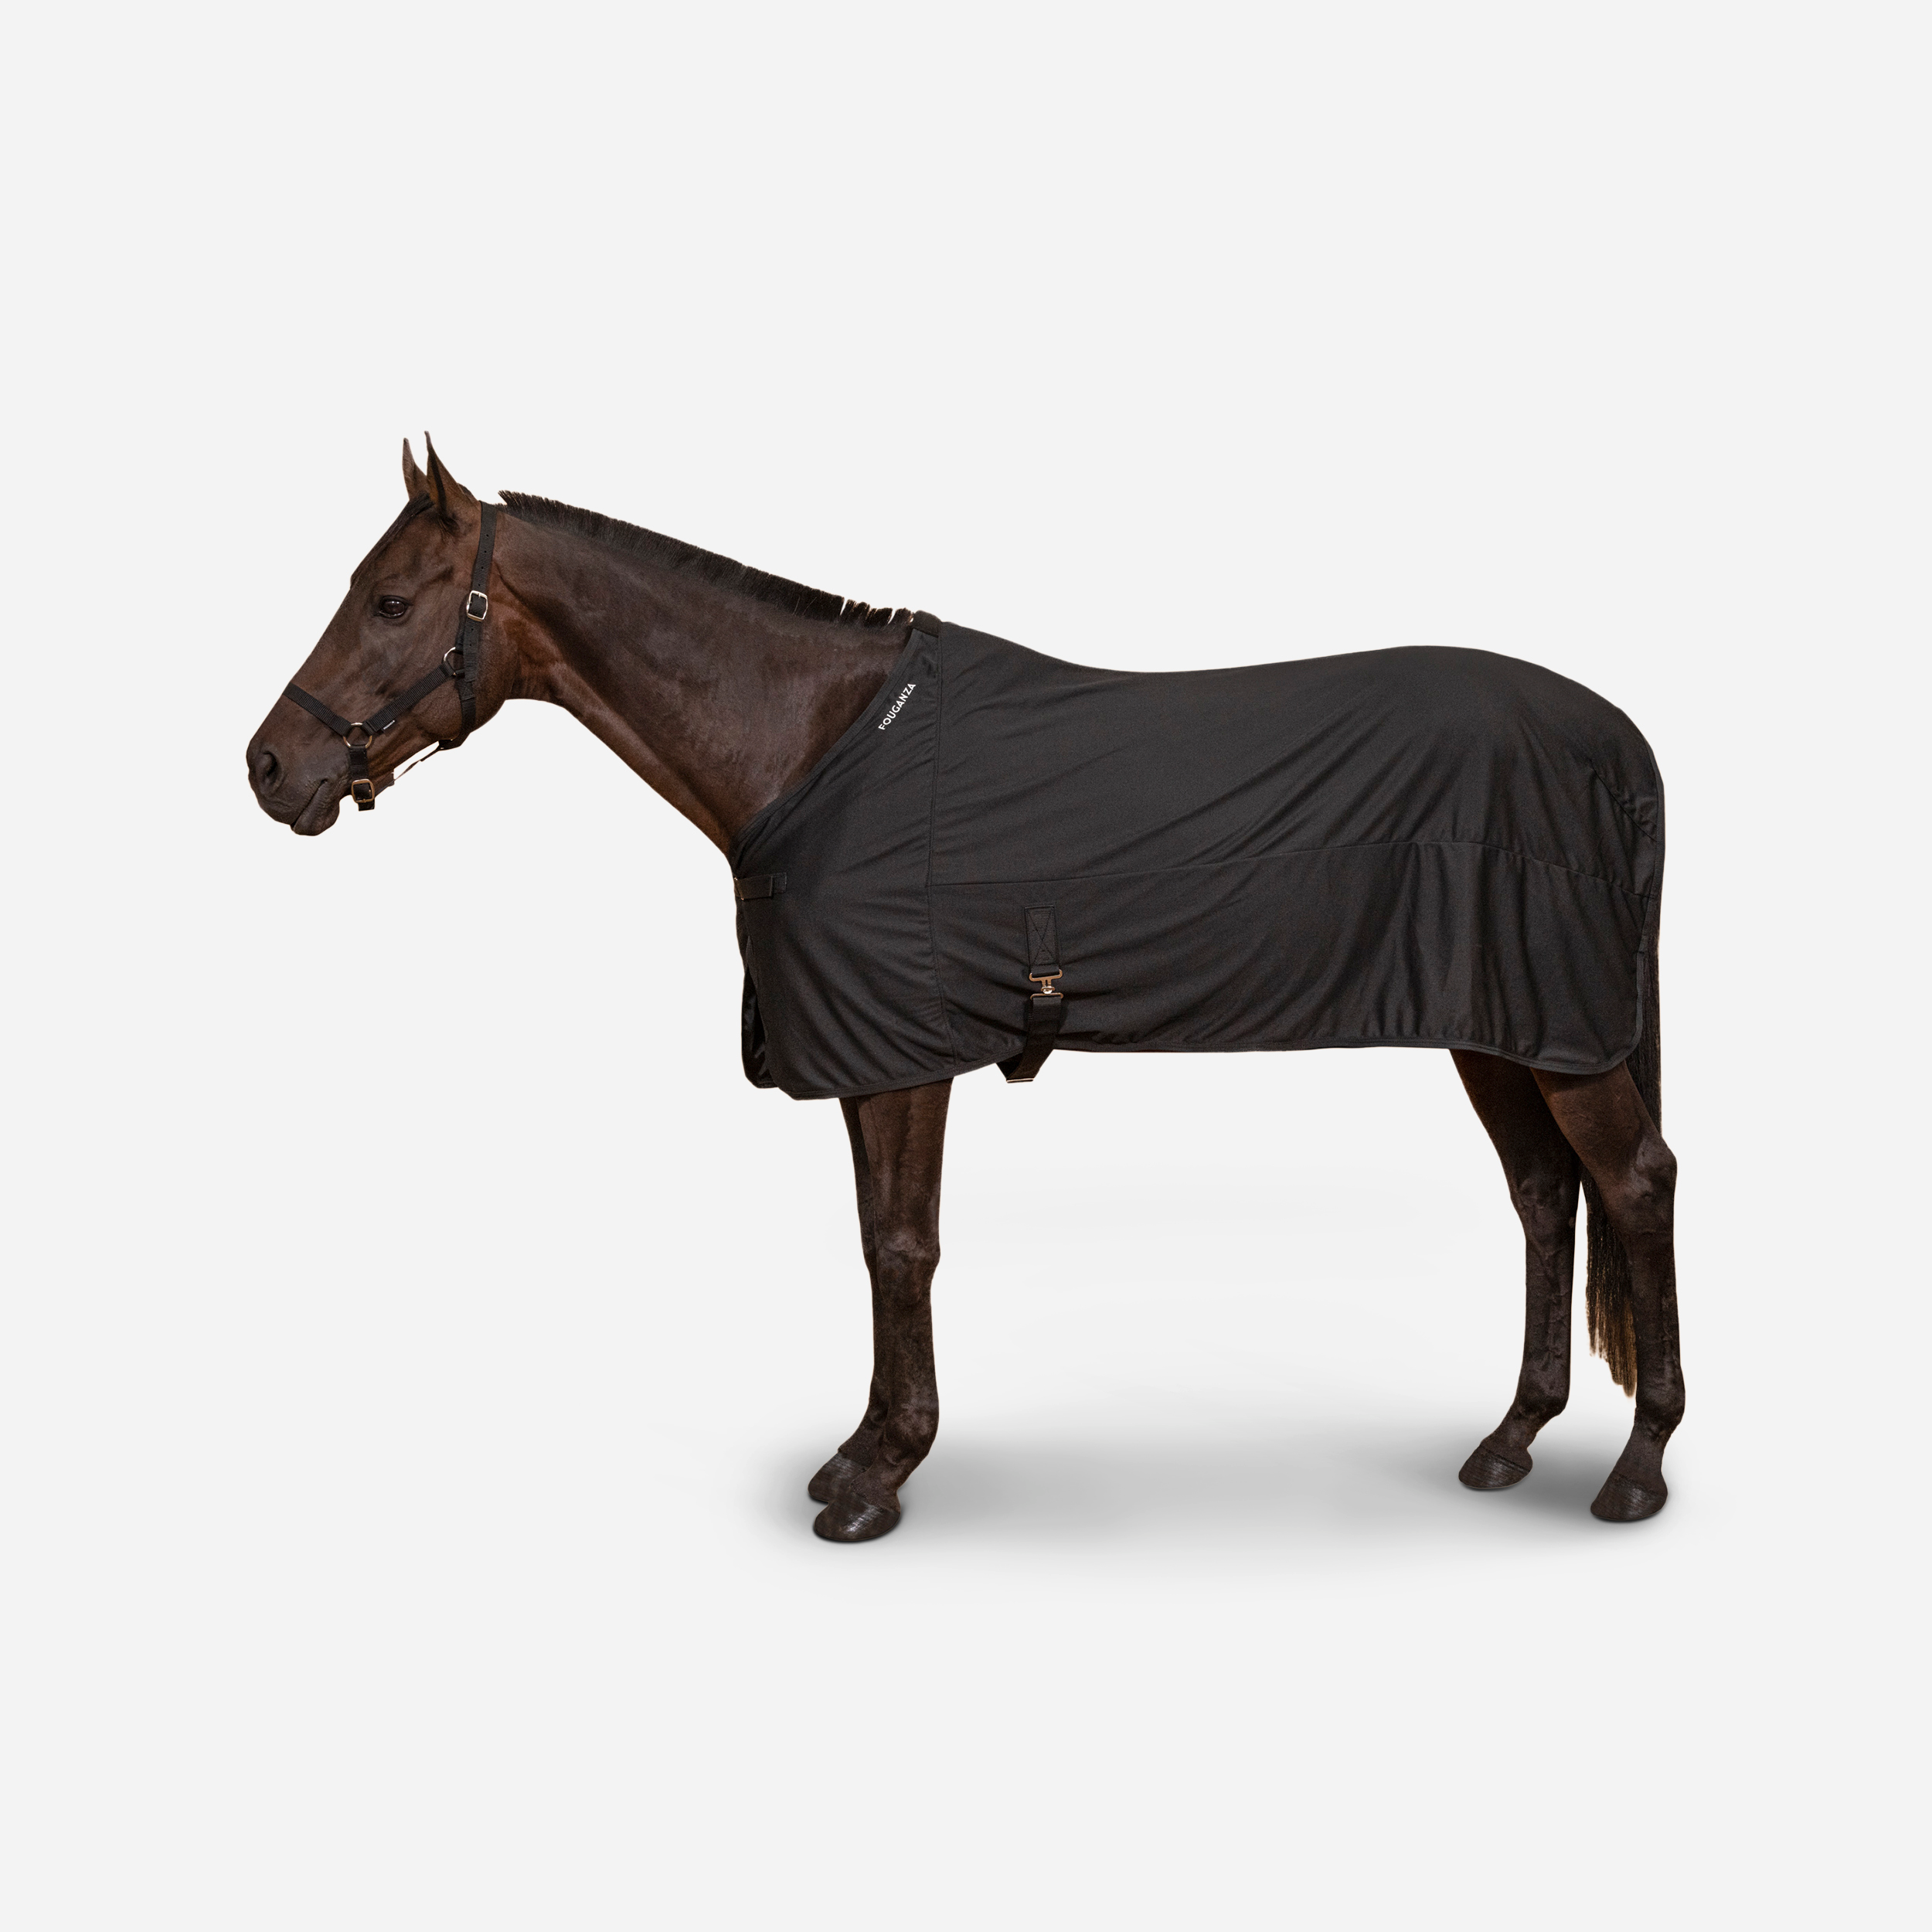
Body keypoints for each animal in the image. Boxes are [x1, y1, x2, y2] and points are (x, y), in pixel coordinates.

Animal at [246, 438, 1682, 1543]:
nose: (268, 768)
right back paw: (1510, 1441)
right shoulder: (869, 1054)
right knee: (1545, 1196)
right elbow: (880, 1241)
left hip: (1565, 1033)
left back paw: (1635, 1470)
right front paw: (866, 1451)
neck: (815, 749)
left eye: (389, 601)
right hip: (1500, 1027)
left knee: (1632, 1185)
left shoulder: (904, 1051)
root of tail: (1617, 743)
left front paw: (877, 1478)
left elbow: (903, 1246)